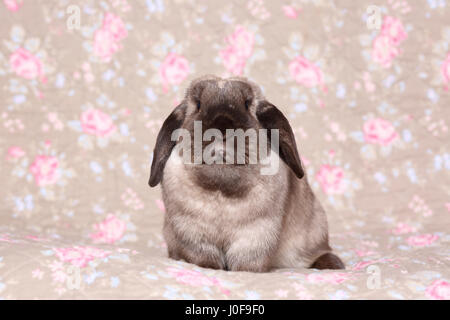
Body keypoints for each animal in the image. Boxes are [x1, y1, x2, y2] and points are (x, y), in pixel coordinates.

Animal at [149, 75, 344, 272]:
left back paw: (332, 264)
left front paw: (243, 272)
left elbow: (245, 262)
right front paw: (210, 268)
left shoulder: (256, 234)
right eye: (198, 104)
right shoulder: (191, 232)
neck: (222, 193)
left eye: (247, 103)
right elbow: (205, 258)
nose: (222, 125)